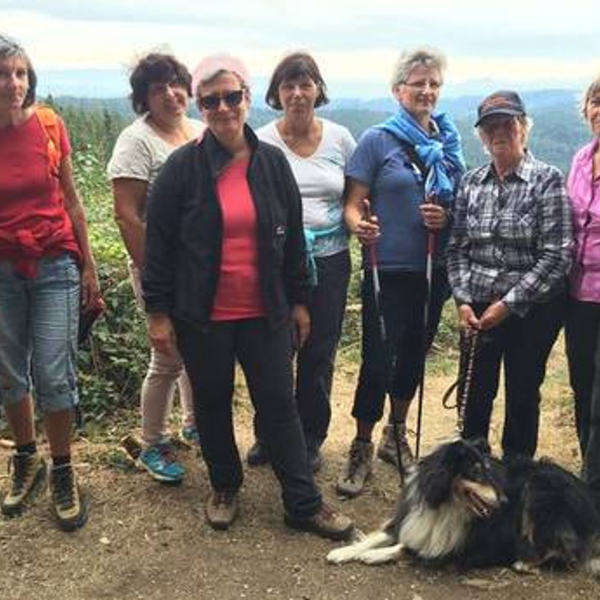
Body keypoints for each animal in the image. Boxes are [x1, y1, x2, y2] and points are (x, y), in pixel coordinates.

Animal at [328, 438, 600, 576]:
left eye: (489, 471)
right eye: (476, 471)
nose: (505, 502)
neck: (445, 504)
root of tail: (589, 495)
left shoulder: (458, 548)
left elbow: (408, 548)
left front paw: (373, 555)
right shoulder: (407, 519)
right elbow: (380, 537)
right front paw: (344, 551)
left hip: (538, 491)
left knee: (566, 549)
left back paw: (525, 562)